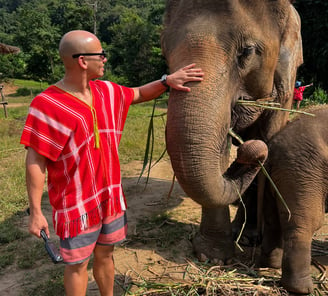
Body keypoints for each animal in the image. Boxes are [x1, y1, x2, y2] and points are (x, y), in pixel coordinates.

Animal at [161, 0, 302, 264]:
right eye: (164, 51)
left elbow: (269, 138)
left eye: (247, 51)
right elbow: (220, 148)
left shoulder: (286, 87)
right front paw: (213, 257)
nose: (251, 154)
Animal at [258, 106, 328, 294]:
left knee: (272, 219)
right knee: (305, 225)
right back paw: (301, 289)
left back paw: (272, 264)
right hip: (304, 173)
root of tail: (271, 148)